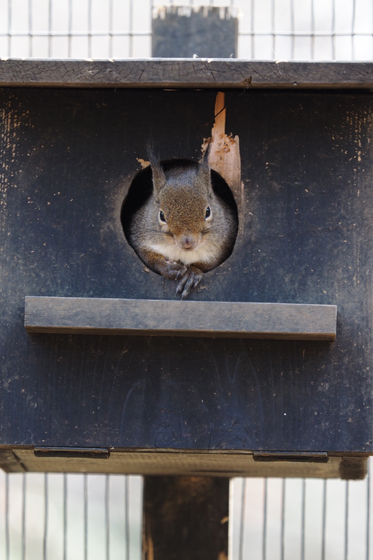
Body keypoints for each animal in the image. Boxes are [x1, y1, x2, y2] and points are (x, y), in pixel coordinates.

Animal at [128, 145, 237, 298]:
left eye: (208, 211)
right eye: (161, 215)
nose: (187, 243)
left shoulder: (221, 246)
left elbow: (208, 264)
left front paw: (192, 273)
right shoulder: (141, 236)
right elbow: (148, 257)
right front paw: (167, 267)